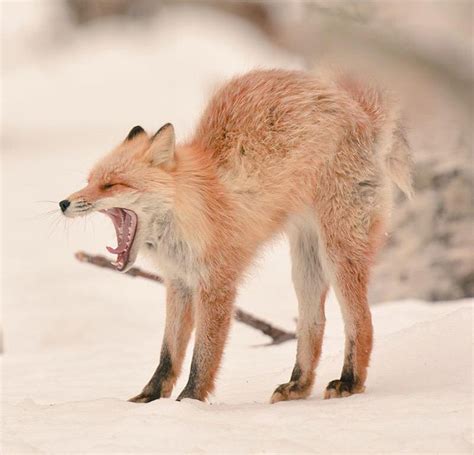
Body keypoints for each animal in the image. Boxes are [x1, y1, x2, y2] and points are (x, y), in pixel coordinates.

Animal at [62, 69, 412, 404]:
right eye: (89, 181)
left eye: (112, 184)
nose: (63, 203)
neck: (191, 207)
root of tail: (358, 110)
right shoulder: (180, 282)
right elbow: (168, 354)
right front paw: (148, 399)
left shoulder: (217, 283)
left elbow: (203, 356)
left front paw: (189, 402)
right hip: (306, 266)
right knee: (314, 325)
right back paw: (298, 385)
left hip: (338, 252)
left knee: (362, 322)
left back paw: (350, 382)